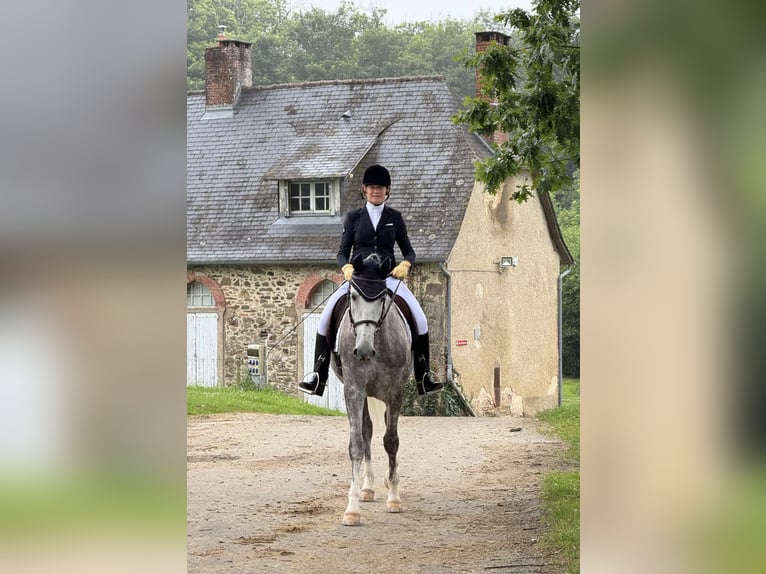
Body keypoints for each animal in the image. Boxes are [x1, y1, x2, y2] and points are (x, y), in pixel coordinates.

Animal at [330, 278, 414, 528]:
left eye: (381, 298)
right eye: (353, 296)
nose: (364, 350)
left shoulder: (395, 393)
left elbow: (391, 441)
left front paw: (394, 497)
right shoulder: (354, 390)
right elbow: (357, 445)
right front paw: (352, 509)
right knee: (367, 430)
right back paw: (367, 488)